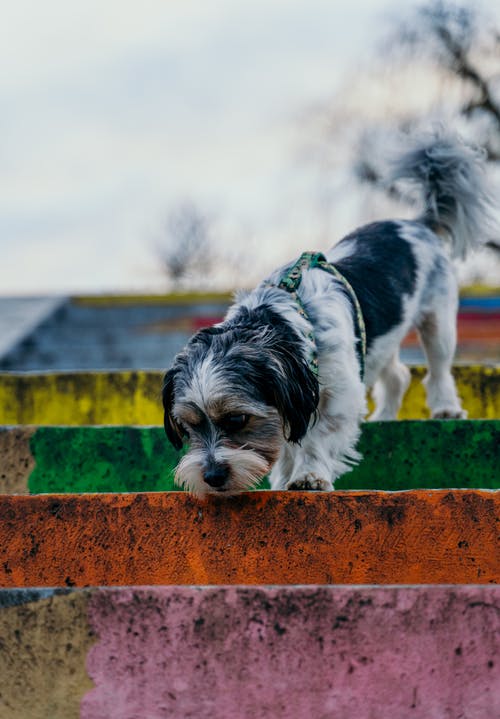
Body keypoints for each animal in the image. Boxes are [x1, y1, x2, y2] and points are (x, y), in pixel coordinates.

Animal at [163, 134, 492, 496]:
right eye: (188, 426)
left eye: (237, 419)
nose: (211, 476)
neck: (287, 318)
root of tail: (416, 223)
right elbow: (285, 441)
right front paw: (283, 478)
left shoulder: (337, 395)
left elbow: (314, 438)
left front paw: (309, 475)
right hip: (380, 343)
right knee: (397, 374)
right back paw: (385, 415)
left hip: (439, 321)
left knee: (438, 369)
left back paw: (446, 408)